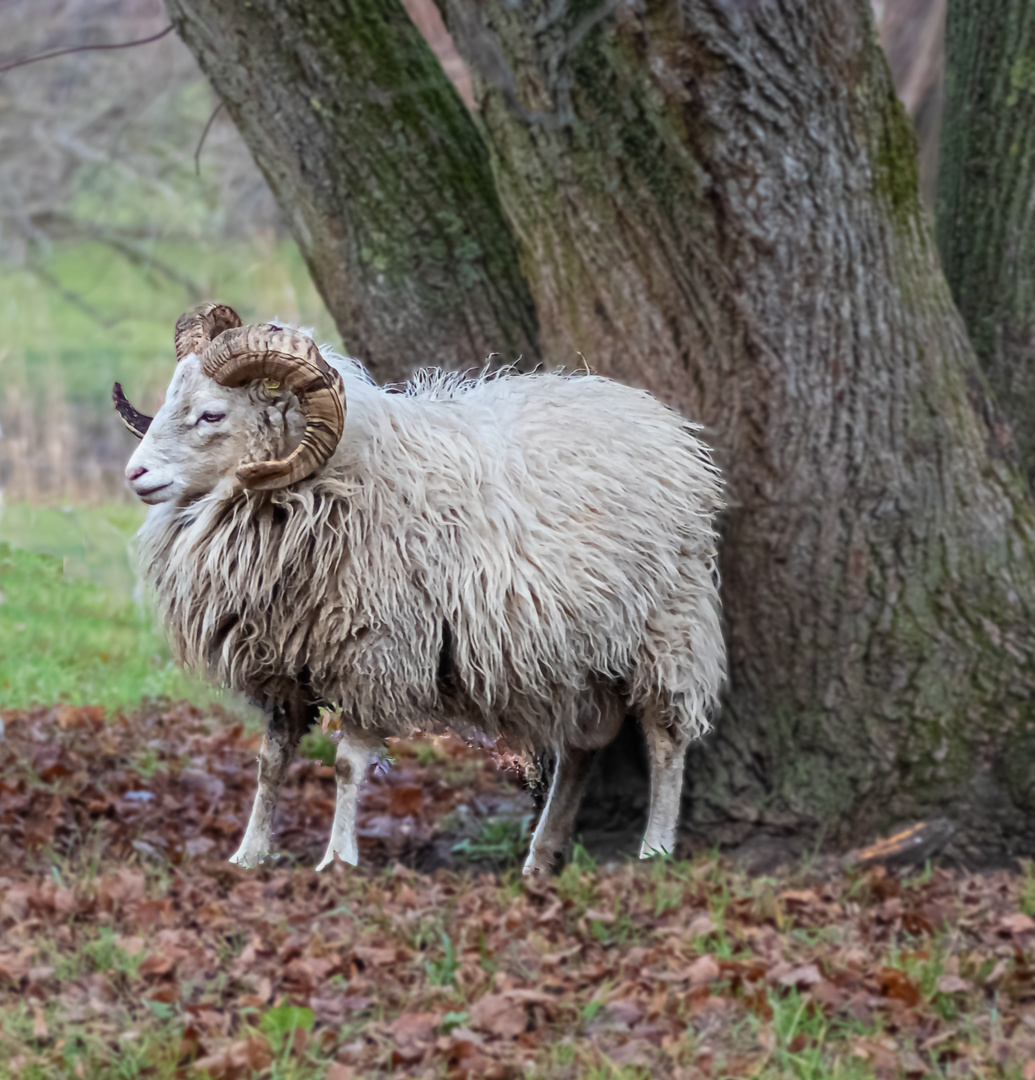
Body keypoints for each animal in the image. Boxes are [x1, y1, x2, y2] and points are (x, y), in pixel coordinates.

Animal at [113, 300, 726, 872]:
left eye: (211, 414)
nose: (135, 474)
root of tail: (661, 422)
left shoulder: (377, 653)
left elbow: (347, 764)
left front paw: (337, 861)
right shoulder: (286, 662)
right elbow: (270, 762)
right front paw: (249, 856)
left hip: (668, 625)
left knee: (667, 737)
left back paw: (654, 849)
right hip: (572, 653)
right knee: (581, 746)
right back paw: (540, 856)